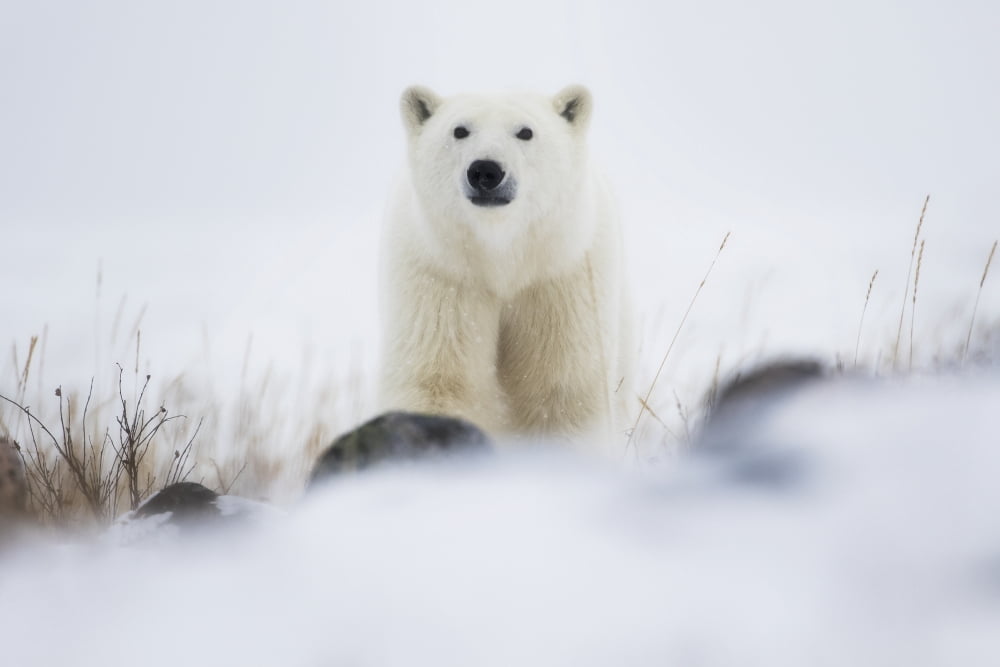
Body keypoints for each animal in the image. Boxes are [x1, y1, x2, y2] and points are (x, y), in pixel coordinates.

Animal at [378, 85, 632, 447]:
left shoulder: (560, 277)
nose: (486, 171)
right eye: (459, 130)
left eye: (525, 132)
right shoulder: (441, 277)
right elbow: (438, 379)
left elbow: (561, 390)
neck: (501, 255)